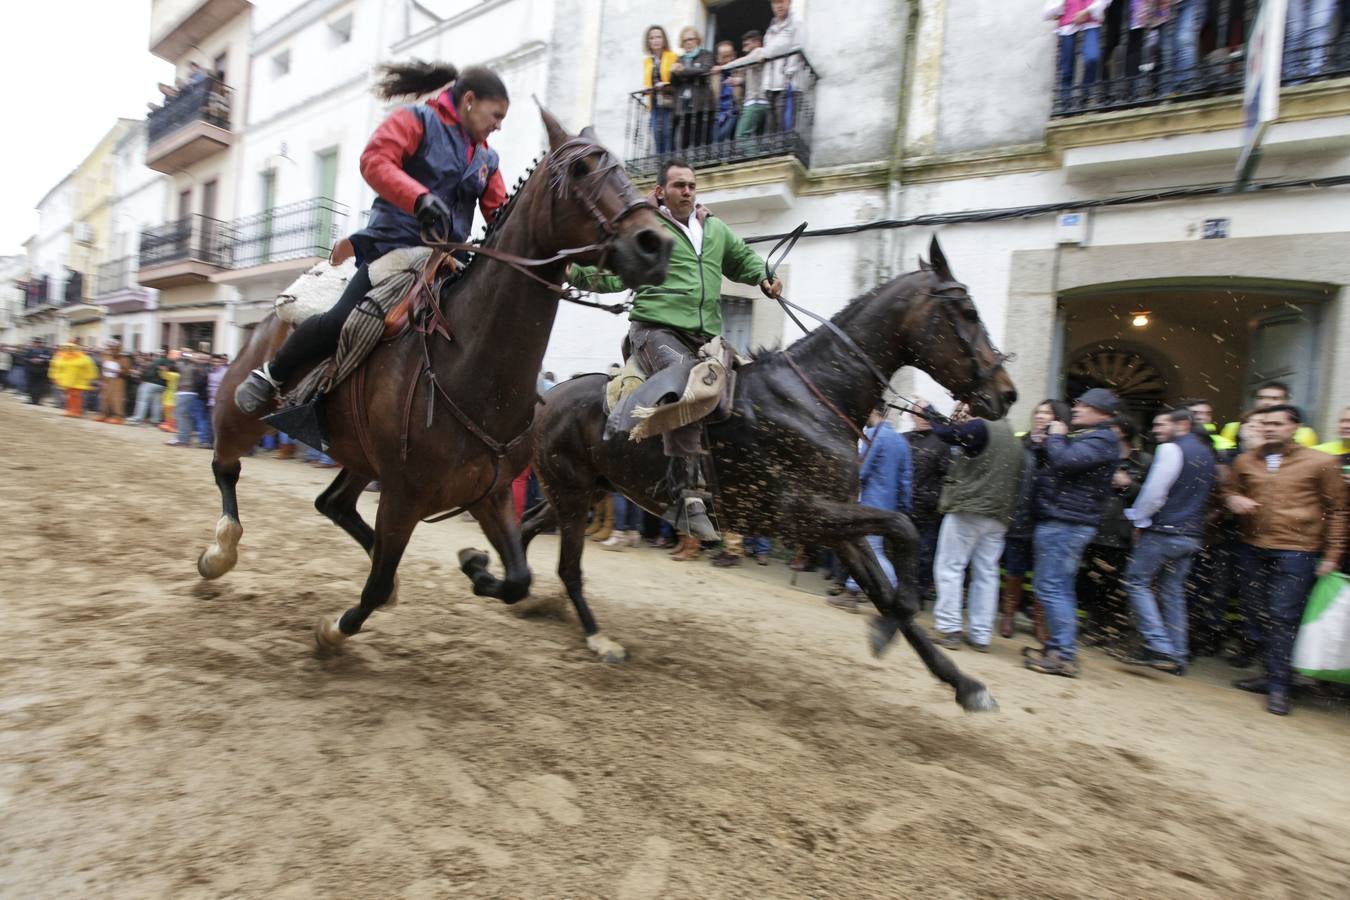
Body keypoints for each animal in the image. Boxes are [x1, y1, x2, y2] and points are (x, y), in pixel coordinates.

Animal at [199, 109, 675, 650]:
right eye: (581, 169)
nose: (656, 243)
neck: (471, 367)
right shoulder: (403, 498)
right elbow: (376, 583)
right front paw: (333, 630)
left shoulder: (489, 493)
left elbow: (517, 578)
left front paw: (476, 566)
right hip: (243, 413)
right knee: (226, 465)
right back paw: (220, 549)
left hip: (360, 458)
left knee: (333, 503)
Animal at [469, 237, 1015, 712]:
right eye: (967, 313)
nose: (1006, 393)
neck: (815, 398)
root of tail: (544, 398)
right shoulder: (801, 514)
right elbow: (904, 531)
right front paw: (888, 631)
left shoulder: (838, 523)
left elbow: (884, 584)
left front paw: (963, 683)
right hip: (571, 493)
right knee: (567, 568)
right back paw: (595, 636)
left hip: (576, 493)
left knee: (524, 530)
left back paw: (490, 578)